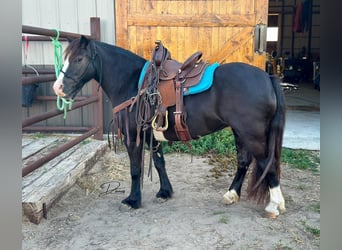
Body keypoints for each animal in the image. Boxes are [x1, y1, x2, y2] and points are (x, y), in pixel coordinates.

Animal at [52, 36, 286, 218]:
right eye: (65, 58)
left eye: (79, 59)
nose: (58, 88)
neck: (132, 82)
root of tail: (267, 77)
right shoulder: (152, 136)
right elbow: (159, 163)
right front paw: (165, 192)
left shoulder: (133, 137)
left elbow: (135, 169)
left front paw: (133, 201)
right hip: (240, 132)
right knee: (244, 161)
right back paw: (231, 194)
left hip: (252, 134)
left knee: (267, 164)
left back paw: (274, 205)